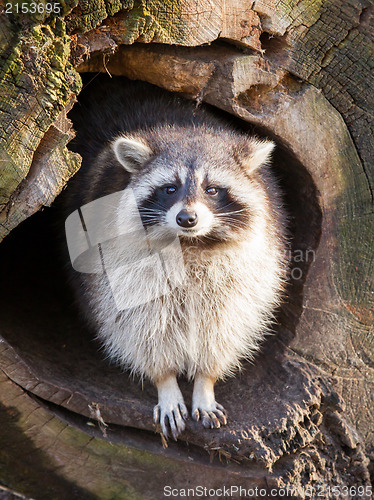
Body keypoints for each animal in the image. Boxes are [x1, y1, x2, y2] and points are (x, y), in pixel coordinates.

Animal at [63, 76, 286, 440]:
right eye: (170, 188)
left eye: (212, 189)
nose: (187, 218)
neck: (188, 243)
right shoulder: (118, 269)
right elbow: (136, 325)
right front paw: (165, 382)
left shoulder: (247, 269)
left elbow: (226, 324)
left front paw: (206, 382)